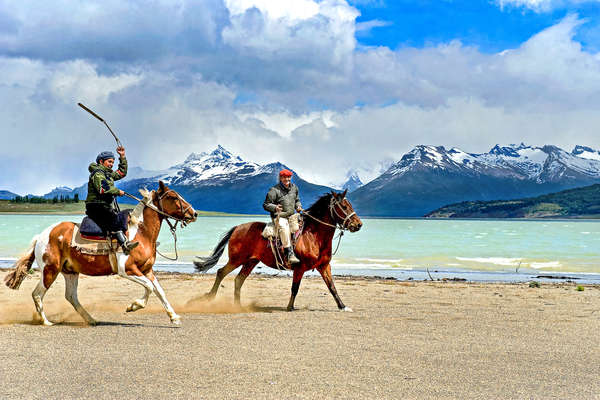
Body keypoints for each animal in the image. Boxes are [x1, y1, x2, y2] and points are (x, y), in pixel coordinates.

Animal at [5, 181, 197, 324]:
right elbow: (149, 287)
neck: (140, 232)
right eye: (172, 197)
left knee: (71, 296)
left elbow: (159, 291)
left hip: (70, 272)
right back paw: (46, 322)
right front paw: (133, 306)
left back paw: (91, 320)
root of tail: (41, 236)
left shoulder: (147, 270)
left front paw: (174, 317)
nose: (194, 213)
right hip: (50, 270)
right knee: (37, 294)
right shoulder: (127, 270)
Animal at [195, 191, 364, 312]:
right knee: (221, 273)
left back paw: (238, 306)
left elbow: (332, 287)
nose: (358, 224)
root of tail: (237, 228)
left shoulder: (324, 267)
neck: (313, 236)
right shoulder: (300, 268)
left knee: (238, 280)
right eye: (344, 206)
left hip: (250, 262)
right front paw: (290, 307)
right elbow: (295, 288)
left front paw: (343, 306)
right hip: (237, 260)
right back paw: (210, 297)